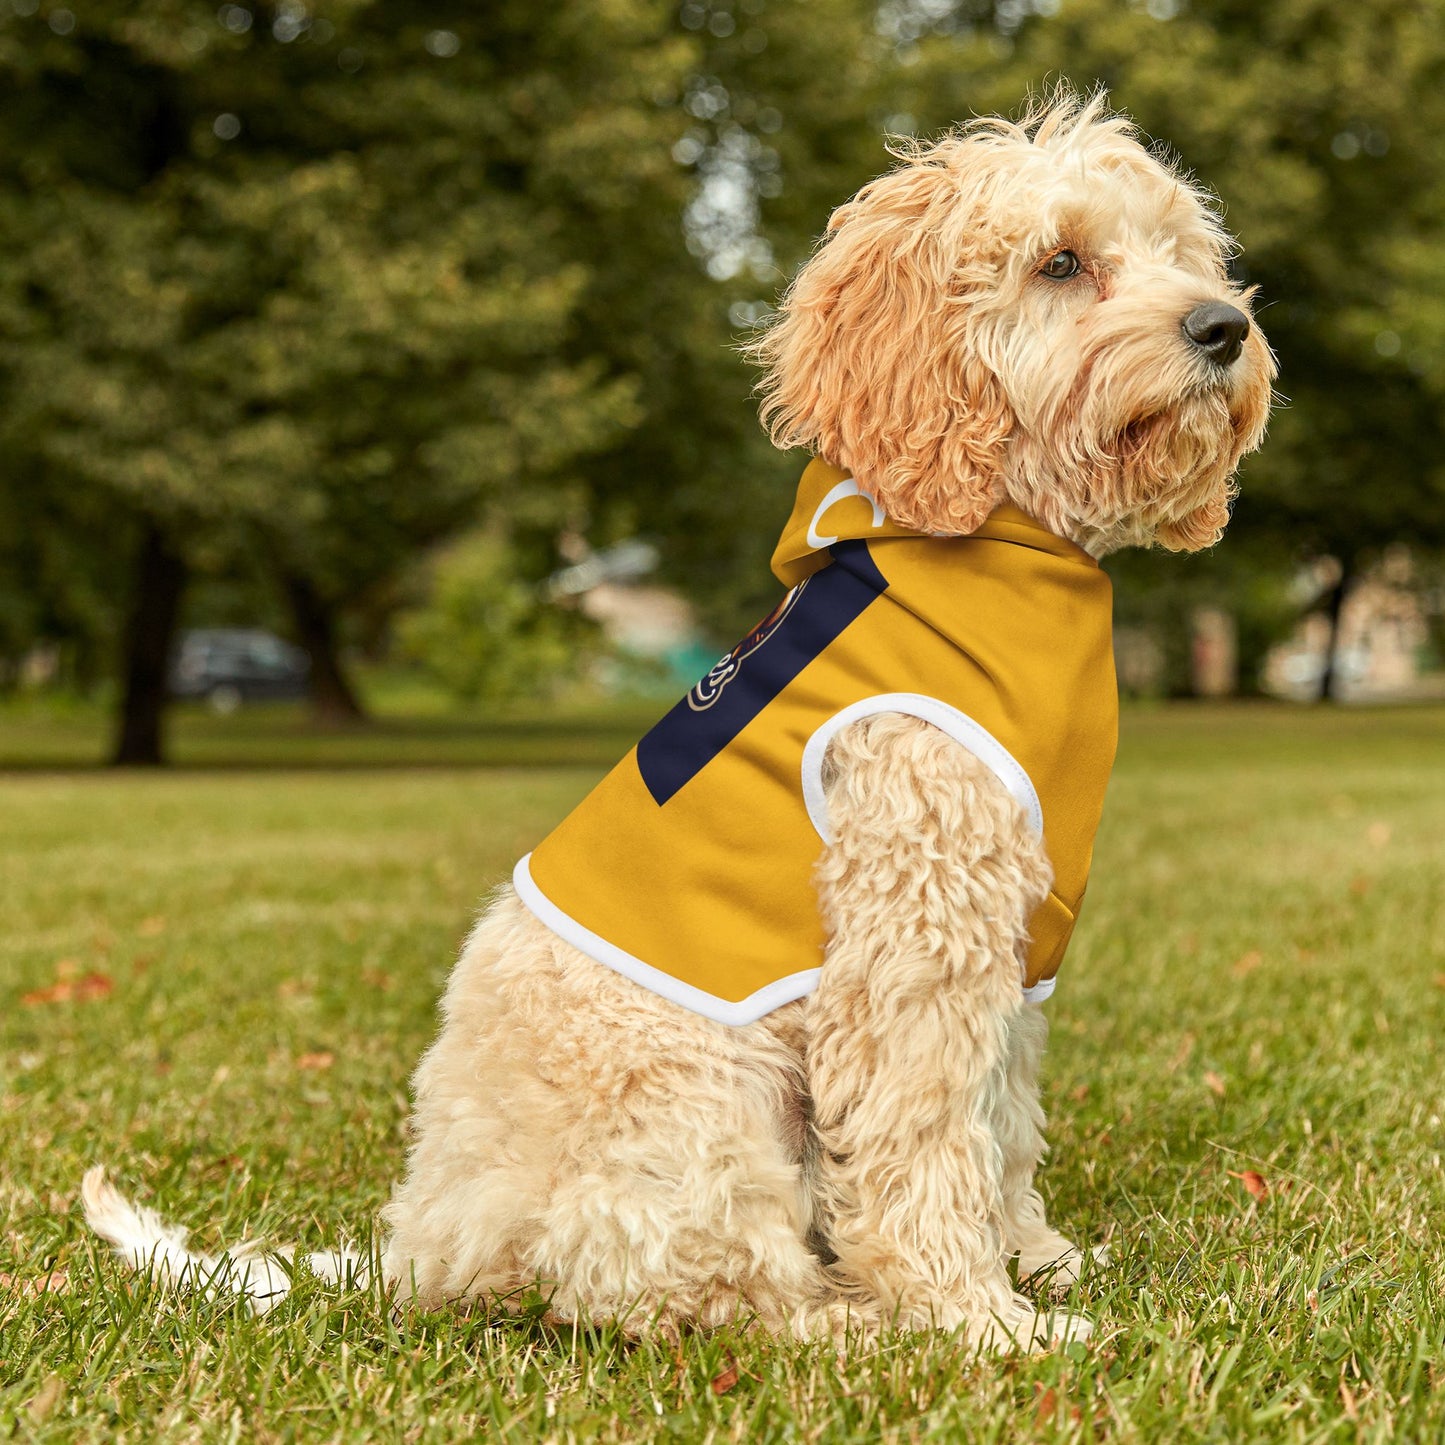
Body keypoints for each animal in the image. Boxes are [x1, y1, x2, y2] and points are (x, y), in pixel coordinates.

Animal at [84, 93, 1271, 1352]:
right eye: (1060, 262)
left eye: (1180, 252)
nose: (1222, 327)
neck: (996, 546)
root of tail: (423, 1245)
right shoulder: (913, 937)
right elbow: (923, 1140)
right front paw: (976, 1318)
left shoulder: (1011, 943)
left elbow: (998, 1123)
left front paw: (1034, 1260)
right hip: (703, 1100)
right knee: (698, 1290)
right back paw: (851, 1322)